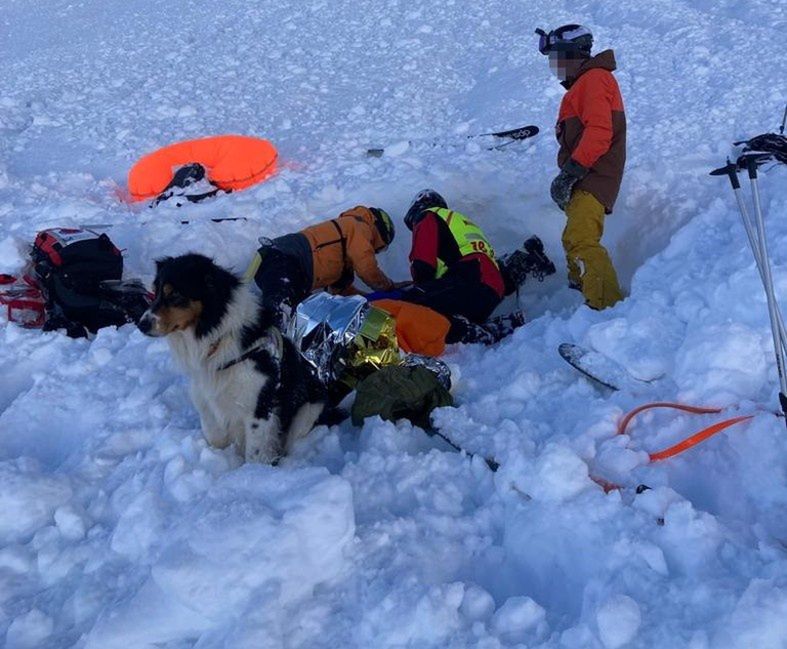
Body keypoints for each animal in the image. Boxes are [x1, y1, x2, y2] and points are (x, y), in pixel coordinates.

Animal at [139, 252, 326, 460]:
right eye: (156, 292)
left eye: (175, 294)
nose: (141, 324)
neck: (218, 337)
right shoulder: (207, 403)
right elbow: (216, 439)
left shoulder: (258, 409)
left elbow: (255, 455)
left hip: (311, 409)